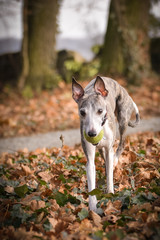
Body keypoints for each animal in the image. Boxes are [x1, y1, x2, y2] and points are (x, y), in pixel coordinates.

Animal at [72, 75, 139, 212]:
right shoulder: (90, 158)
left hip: (122, 119)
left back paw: (115, 160)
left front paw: (110, 193)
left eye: (100, 110)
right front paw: (93, 207)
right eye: (82, 112)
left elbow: (109, 175)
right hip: (101, 148)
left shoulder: (109, 150)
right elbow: (91, 180)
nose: (92, 134)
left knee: (121, 144)